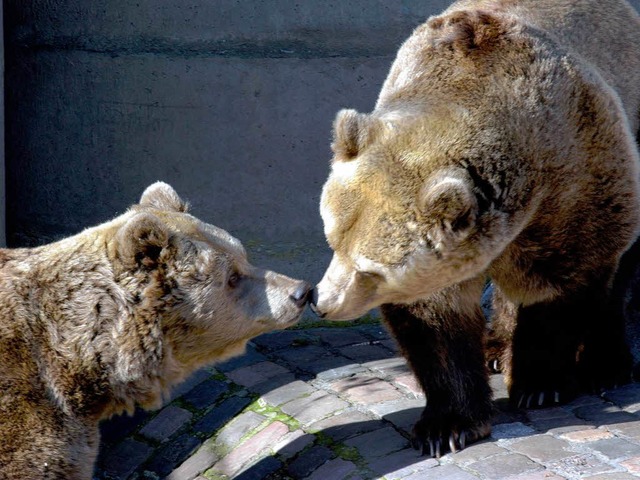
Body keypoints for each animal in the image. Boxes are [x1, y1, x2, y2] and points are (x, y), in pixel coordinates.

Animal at [310, 0, 640, 458]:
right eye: (331, 239)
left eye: (369, 270)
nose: (321, 302)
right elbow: (435, 321)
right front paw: (446, 425)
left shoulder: (573, 175)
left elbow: (561, 277)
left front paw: (539, 384)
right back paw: (495, 348)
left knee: (617, 276)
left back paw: (605, 364)